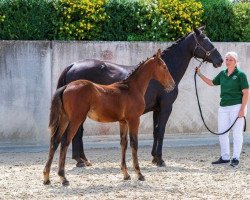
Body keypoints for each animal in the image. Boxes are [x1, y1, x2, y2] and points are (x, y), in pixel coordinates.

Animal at [43, 48, 176, 186]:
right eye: (164, 67)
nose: (172, 84)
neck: (131, 88)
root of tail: (66, 87)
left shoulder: (123, 122)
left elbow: (123, 143)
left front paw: (126, 174)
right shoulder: (134, 120)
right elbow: (134, 144)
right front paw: (139, 174)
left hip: (64, 119)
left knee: (55, 141)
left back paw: (47, 177)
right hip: (75, 120)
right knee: (65, 142)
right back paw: (63, 177)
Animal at [56, 26, 223, 167]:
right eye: (205, 41)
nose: (220, 60)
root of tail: (73, 65)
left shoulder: (157, 109)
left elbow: (156, 131)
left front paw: (154, 157)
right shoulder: (166, 107)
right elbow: (161, 131)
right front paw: (160, 160)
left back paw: (83, 159)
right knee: (77, 132)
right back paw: (80, 160)